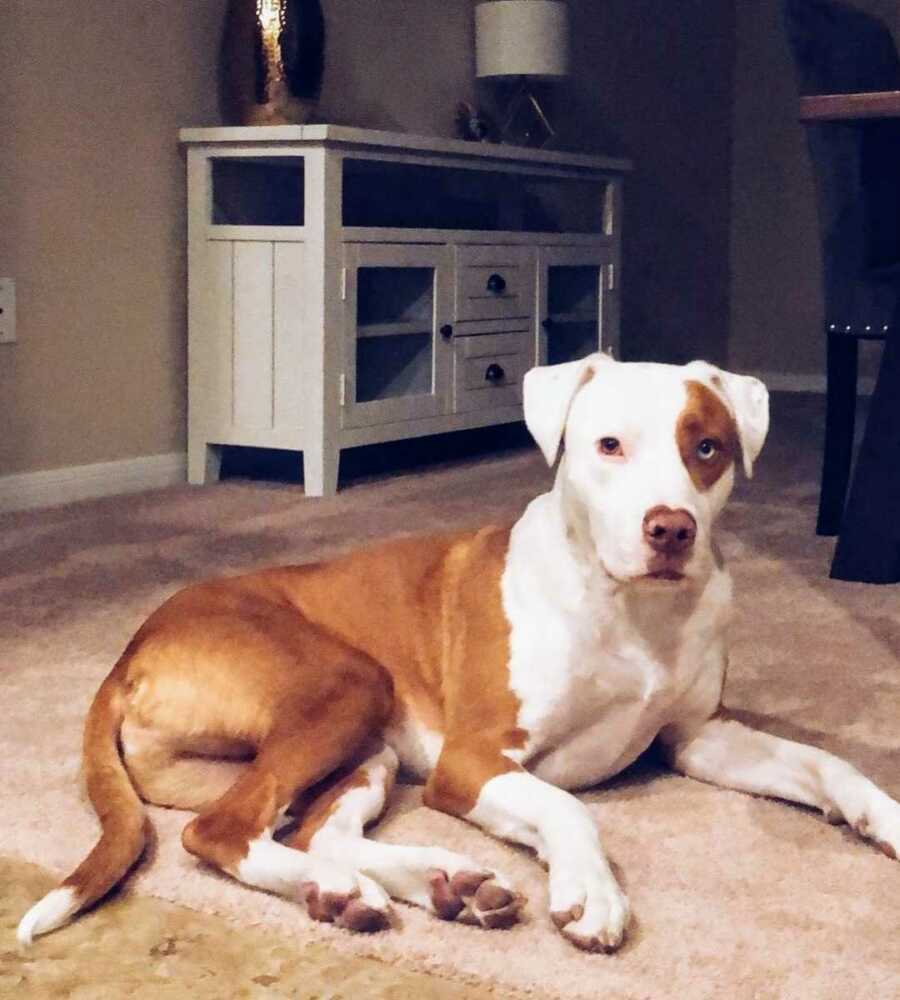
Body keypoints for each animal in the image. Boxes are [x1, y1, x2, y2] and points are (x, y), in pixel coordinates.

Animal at [17, 356, 900, 948]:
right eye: (608, 445)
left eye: (708, 448)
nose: (671, 530)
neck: (631, 610)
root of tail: (130, 651)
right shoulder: (474, 760)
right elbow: (567, 806)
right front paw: (591, 891)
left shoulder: (698, 737)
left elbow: (827, 764)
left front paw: (883, 816)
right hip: (350, 682)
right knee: (222, 831)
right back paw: (348, 889)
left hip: (367, 747)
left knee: (310, 830)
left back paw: (431, 885)